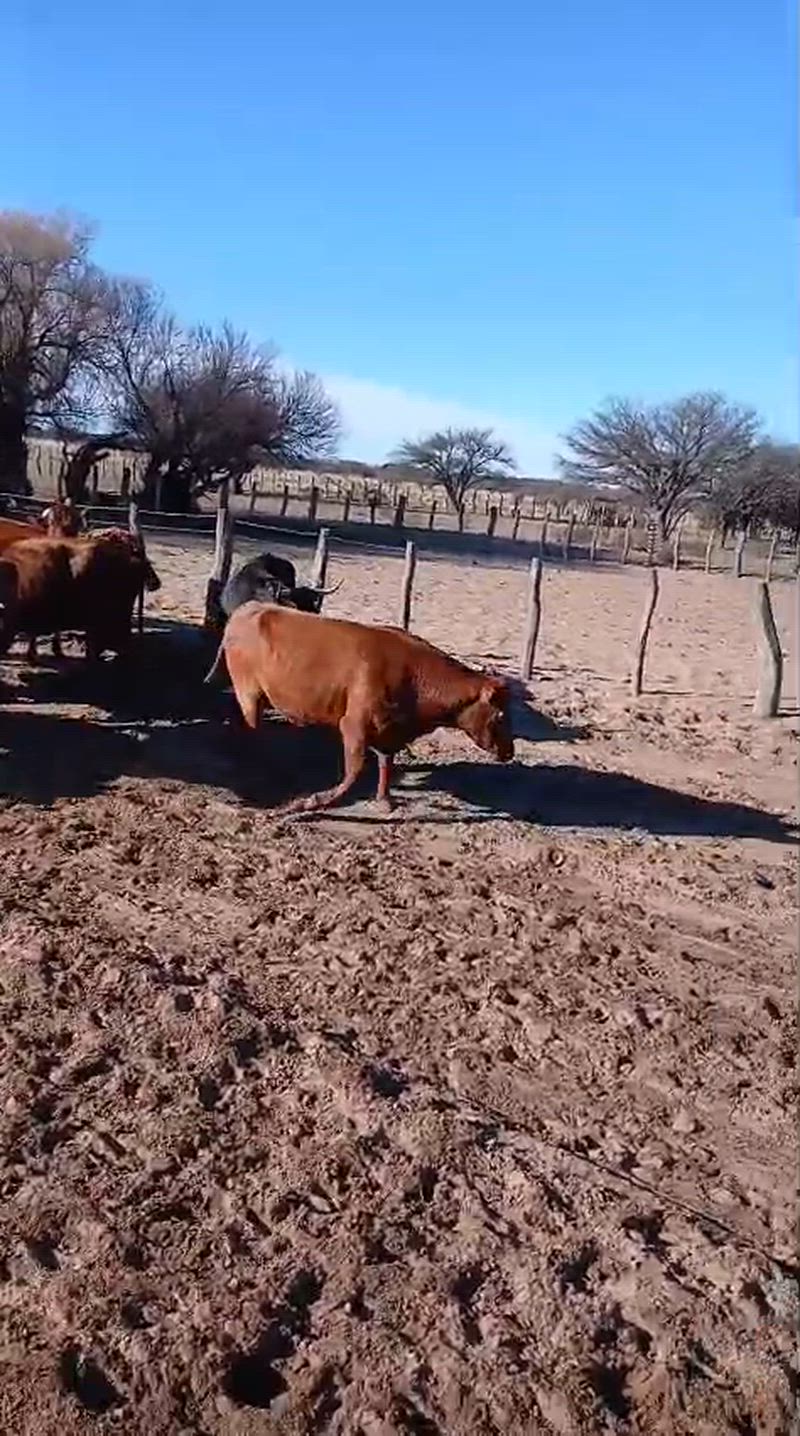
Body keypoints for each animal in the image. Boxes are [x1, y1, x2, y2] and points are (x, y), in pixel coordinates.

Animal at [204, 602, 514, 813]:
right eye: (500, 715)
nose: (510, 753)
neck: (413, 675)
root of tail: (249, 608)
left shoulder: (388, 729)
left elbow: (386, 763)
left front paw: (384, 800)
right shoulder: (354, 726)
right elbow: (353, 772)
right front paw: (310, 801)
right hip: (249, 693)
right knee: (252, 730)